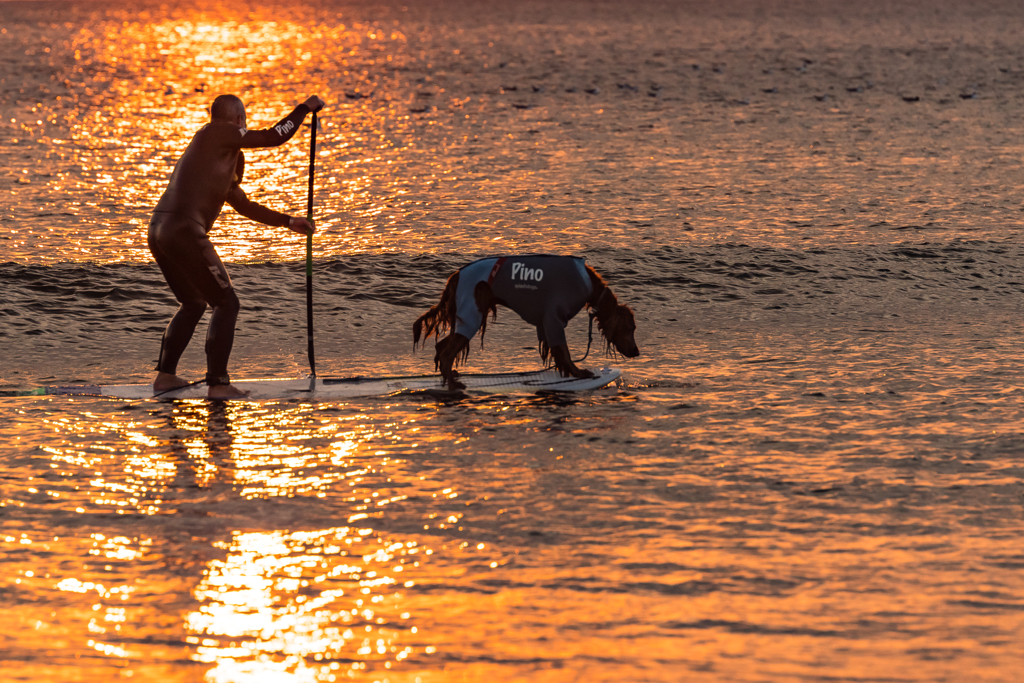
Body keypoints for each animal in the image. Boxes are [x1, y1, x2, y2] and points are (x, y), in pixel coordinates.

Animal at [409, 253, 634, 389]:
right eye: (630, 328)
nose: (636, 352)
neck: (590, 285)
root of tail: (456, 275)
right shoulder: (553, 318)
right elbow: (563, 351)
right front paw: (578, 372)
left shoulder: (545, 322)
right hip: (471, 314)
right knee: (447, 353)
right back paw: (454, 384)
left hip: (466, 315)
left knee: (441, 347)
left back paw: (450, 377)